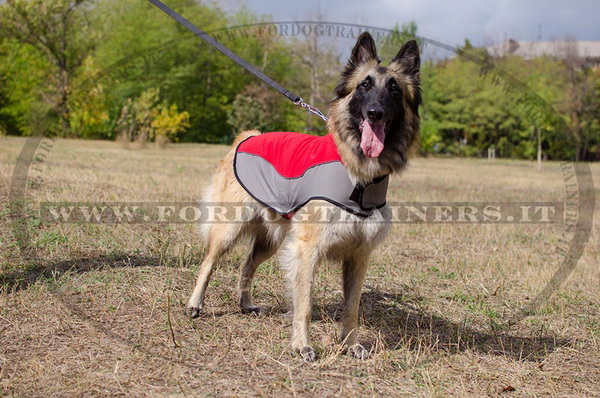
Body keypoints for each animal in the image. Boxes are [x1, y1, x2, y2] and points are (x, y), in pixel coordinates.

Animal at [185, 31, 420, 360]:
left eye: (394, 89)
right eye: (364, 85)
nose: (375, 113)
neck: (357, 172)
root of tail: (248, 136)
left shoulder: (358, 254)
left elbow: (352, 306)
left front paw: (351, 344)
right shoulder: (307, 249)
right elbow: (305, 302)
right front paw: (301, 344)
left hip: (271, 240)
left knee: (246, 266)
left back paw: (245, 304)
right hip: (230, 228)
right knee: (208, 262)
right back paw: (195, 304)